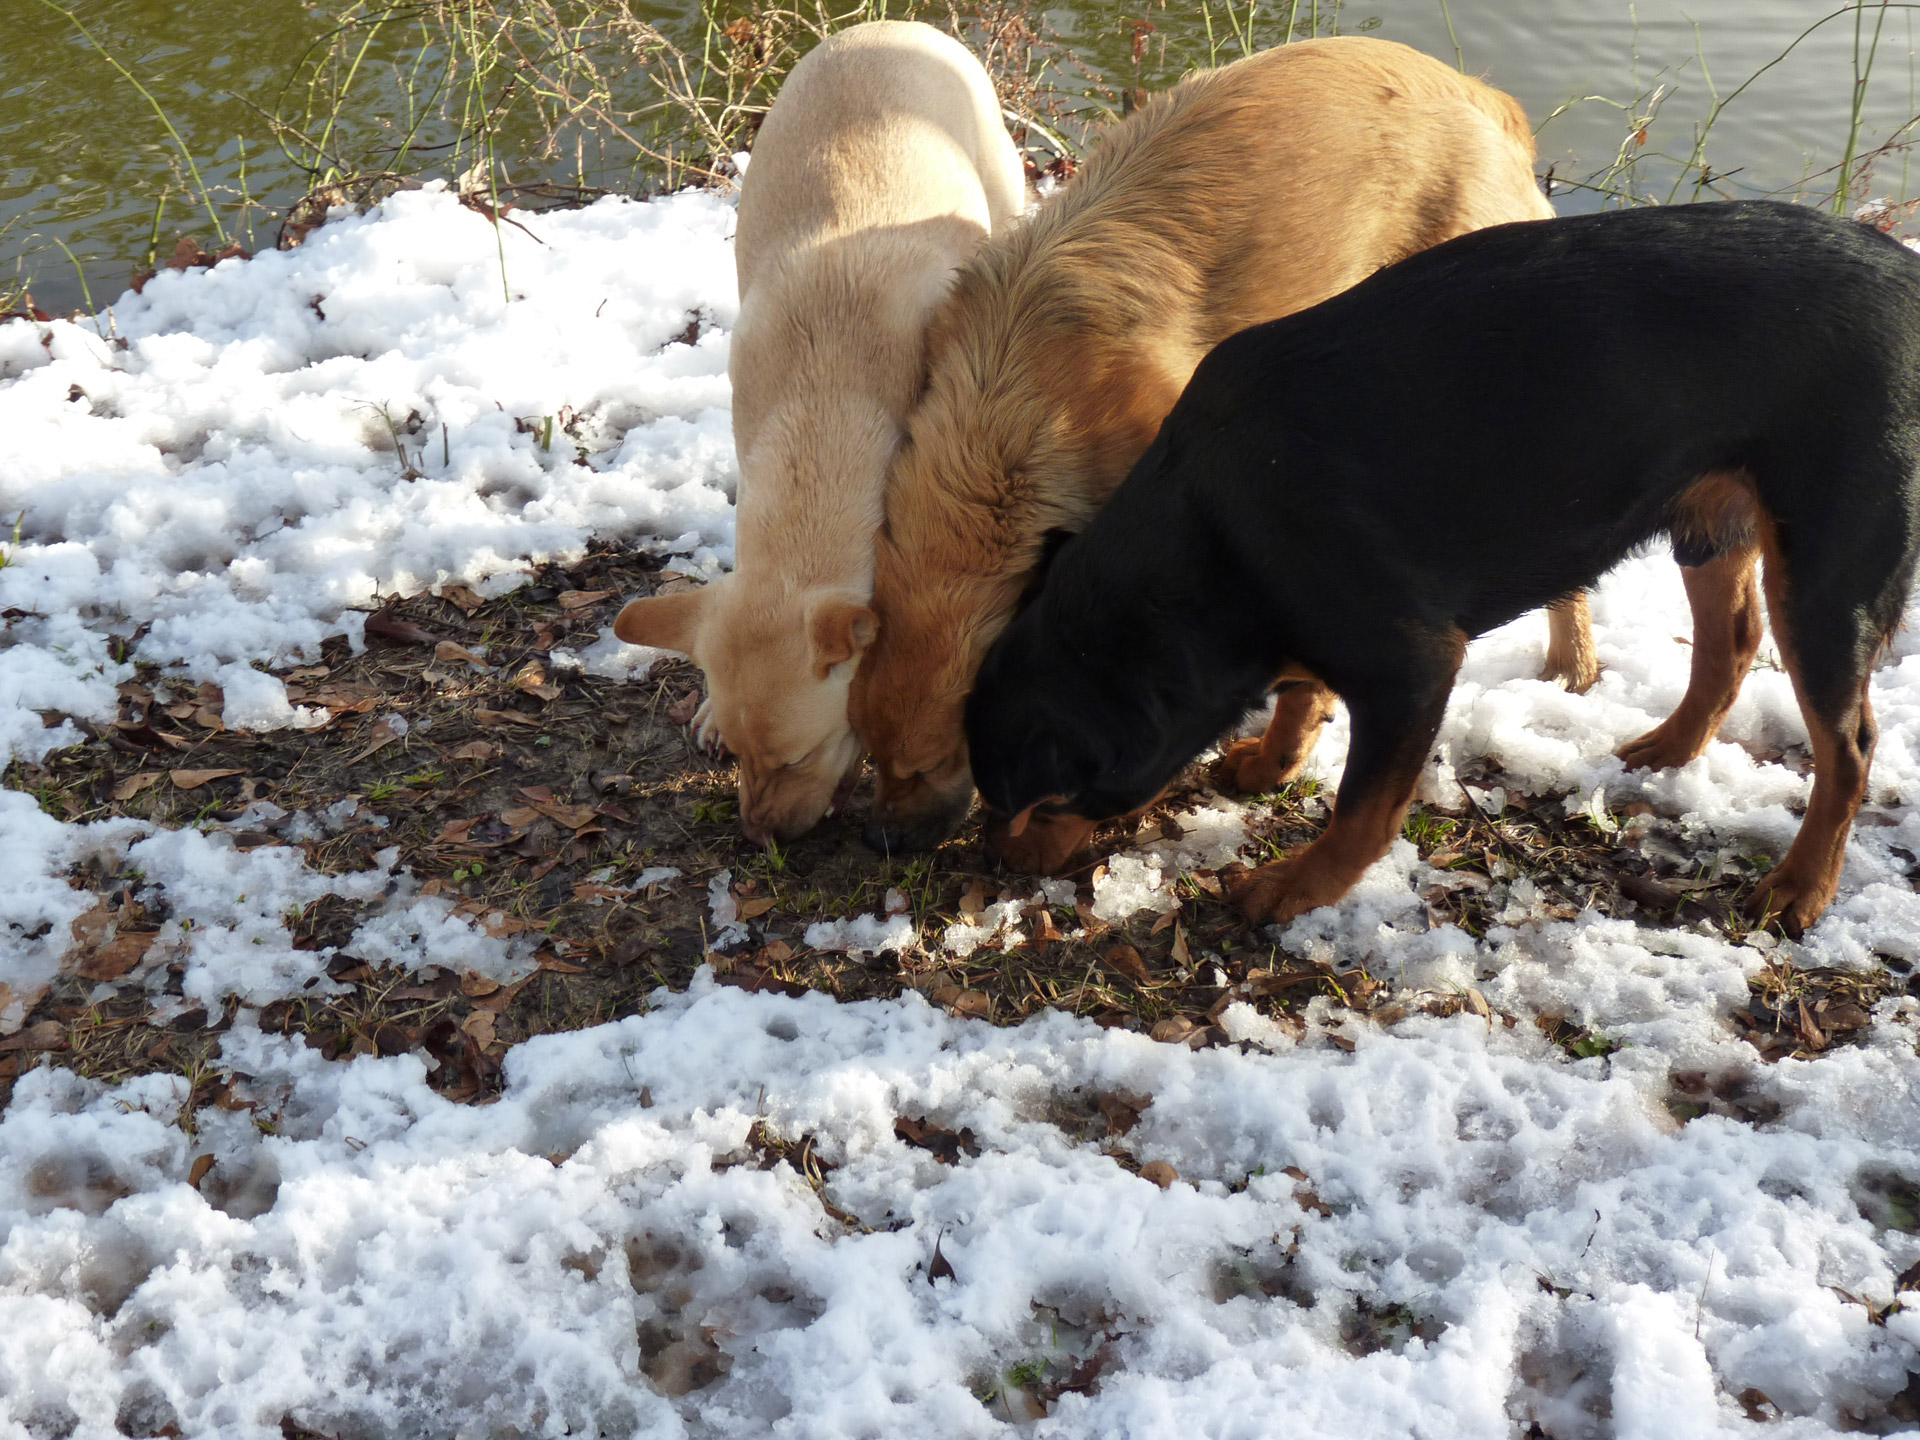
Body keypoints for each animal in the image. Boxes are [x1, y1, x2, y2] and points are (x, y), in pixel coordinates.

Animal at [852, 39, 1589, 864]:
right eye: (871, 755)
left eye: (935, 761)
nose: (879, 840)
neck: (1015, 406)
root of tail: (1484, 97)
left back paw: (1572, 668)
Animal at [967, 205, 1920, 948]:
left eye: (1040, 800)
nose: (994, 861)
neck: (1211, 532)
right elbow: (1301, 694)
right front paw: (1273, 762)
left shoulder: (1412, 663)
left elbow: (1362, 810)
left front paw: (1292, 890)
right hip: (1712, 523)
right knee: (1732, 643)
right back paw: (1672, 748)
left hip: (1831, 572)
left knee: (1849, 748)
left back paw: (1800, 887)